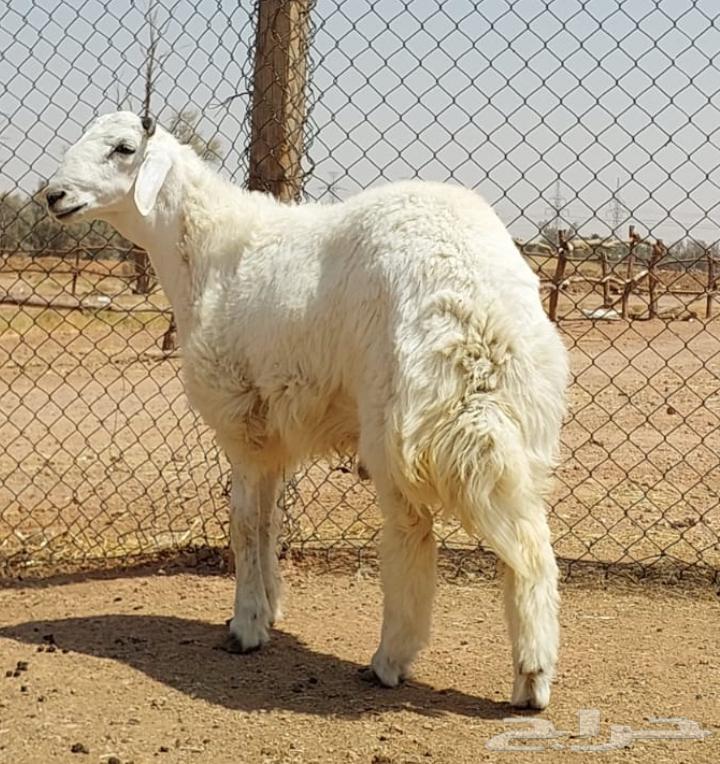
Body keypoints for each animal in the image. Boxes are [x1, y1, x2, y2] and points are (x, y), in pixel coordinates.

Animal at [46, 111, 569, 709]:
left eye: (124, 148)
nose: (53, 196)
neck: (205, 252)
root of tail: (477, 310)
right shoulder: (271, 435)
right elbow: (270, 521)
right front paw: (270, 606)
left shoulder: (241, 421)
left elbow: (244, 524)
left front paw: (247, 625)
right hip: (516, 424)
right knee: (532, 549)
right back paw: (532, 678)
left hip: (399, 420)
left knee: (412, 533)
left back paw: (391, 660)